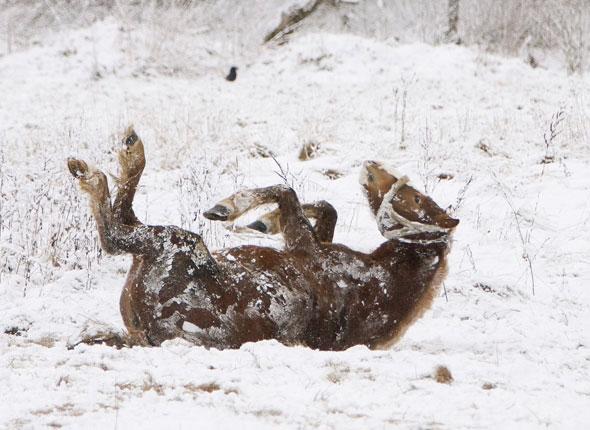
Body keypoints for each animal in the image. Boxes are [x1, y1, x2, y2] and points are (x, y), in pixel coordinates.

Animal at [67, 127, 460, 350]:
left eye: (417, 200)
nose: (373, 168)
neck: (383, 282)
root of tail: (149, 329)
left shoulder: (306, 248)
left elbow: (286, 192)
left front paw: (227, 209)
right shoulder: (311, 241)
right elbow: (322, 208)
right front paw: (264, 223)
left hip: (173, 242)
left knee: (115, 231)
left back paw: (112, 160)